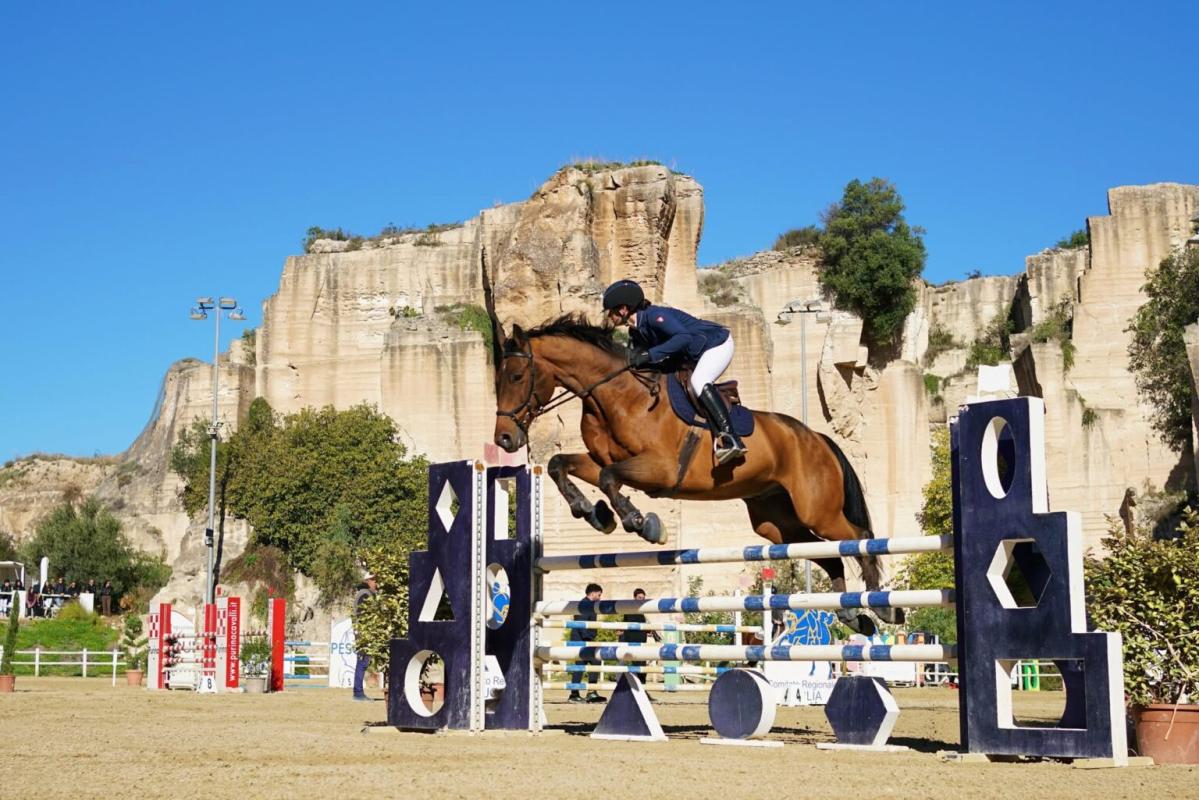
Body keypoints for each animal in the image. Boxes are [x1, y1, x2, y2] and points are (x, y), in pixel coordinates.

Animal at [488, 313, 902, 634]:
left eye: (517, 376)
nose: (504, 438)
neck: (616, 395)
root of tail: (817, 437)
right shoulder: (601, 459)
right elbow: (561, 465)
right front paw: (594, 514)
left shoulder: (661, 468)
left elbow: (608, 479)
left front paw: (642, 523)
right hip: (775, 522)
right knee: (828, 555)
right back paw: (853, 613)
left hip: (819, 510)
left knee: (859, 539)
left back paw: (881, 606)